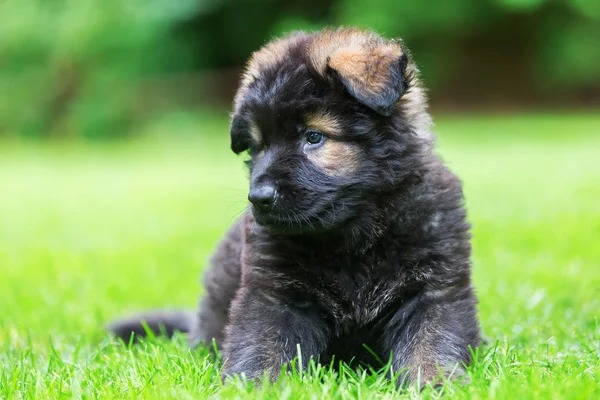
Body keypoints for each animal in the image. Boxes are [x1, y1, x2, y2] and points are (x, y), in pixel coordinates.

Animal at [106, 26, 482, 386]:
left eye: (313, 137)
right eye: (256, 147)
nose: (259, 198)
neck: (354, 240)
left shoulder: (434, 289)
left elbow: (431, 342)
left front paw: (435, 382)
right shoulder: (274, 293)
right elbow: (262, 346)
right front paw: (254, 387)